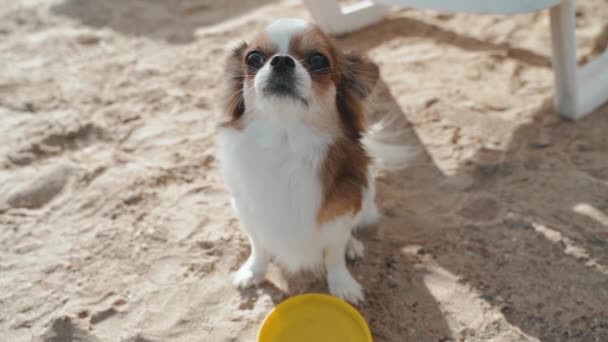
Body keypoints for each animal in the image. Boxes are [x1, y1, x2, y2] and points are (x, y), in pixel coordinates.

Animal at [216, 17, 410, 304]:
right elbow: (259, 246)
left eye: (318, 60)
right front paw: (252, 272)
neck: (285, 143)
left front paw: (342, 285)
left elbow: (334, 254)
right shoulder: (250, 213)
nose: (281, 61)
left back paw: (353, 245)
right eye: (254, 58)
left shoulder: (339, 214)